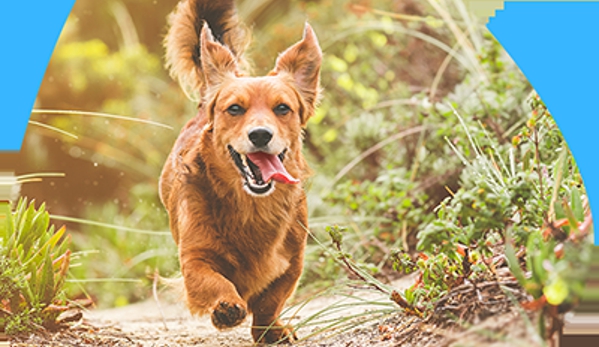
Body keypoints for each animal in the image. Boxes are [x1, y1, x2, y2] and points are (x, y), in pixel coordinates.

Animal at [157, 0, 322, 344]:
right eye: (234, 108)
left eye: (283, 108)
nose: (260, 135)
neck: (251, 207)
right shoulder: (194, 257)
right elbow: (213, 281)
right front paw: (225, 308)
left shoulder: (292, 262)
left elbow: (270, 301)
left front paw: (270, 331)